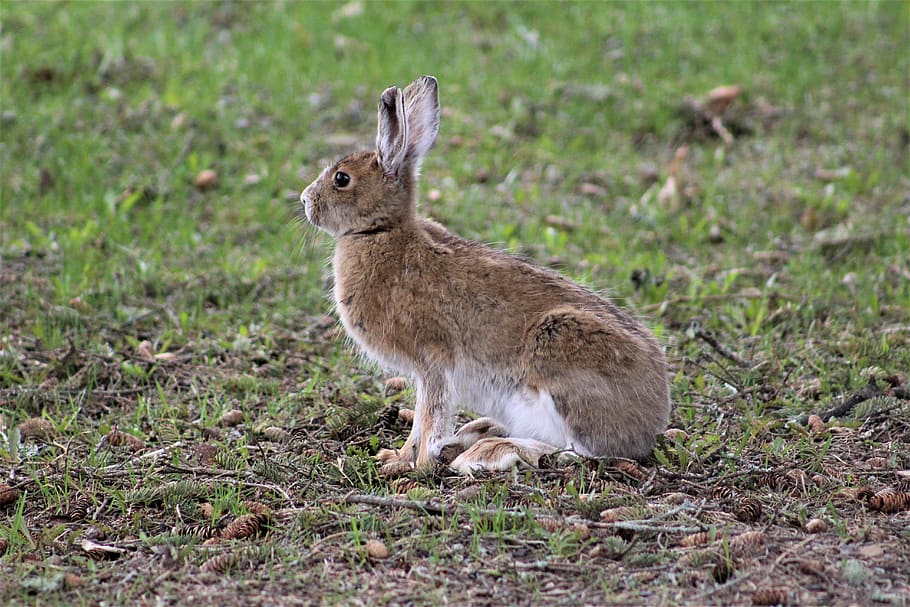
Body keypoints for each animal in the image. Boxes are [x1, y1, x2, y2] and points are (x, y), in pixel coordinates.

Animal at [300, 75, 671, 474]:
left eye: (341, 179)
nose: (305, 201)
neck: (381, 231)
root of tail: (652, 420)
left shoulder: (433, 361)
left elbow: (429, 416)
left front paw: (418, 466)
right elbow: (420, 418)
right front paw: (396, 458)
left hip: (560, 347)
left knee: (577, 450)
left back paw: (486, 450)